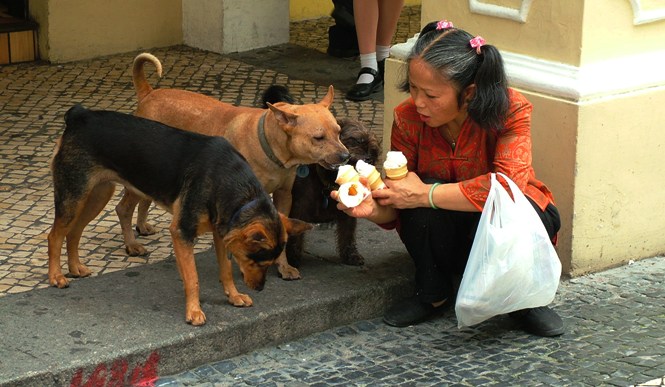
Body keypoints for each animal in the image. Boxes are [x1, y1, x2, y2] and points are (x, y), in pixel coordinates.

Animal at [46, 104, 312, 326]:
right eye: (255, 260)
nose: (260, 289)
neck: (230, 181)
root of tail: (80, 115)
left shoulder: (221, 232)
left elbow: (226, 270)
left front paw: (234, 296)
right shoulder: (182, 233)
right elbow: (192, 278)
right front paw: (194, 312)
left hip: (97, 195)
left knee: (74, 232)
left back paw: (75, 267)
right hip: (74, 195)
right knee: (55, 236)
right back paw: (56, 276)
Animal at [116, 52, 350, 282]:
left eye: (339, 132)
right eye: (318, 138)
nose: (346, 156)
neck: (266, 144)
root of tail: (148, 93)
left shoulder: (284, 195)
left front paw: (283, 267)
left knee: (143, 200)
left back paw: (142, 226)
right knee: (123, 208)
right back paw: (132, 245)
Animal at [262, 85, 382, 266]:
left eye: (373, 144)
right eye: (355, 140)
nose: (371, 155)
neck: (326, 182)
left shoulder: (348, 215)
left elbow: (347, 234)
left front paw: (350, 255)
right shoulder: (298, 210)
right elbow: (295, 237)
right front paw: (293, 259)